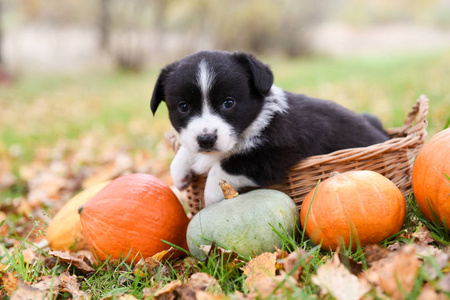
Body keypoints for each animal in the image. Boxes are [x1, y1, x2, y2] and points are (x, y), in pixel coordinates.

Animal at [151, 51, 390, 206]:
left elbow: (228, 166)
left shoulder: (277, 151)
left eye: (228, 103)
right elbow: (187, 149)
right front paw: (179, 172)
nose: (206, 139)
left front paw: (211, 195)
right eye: (183, 107)